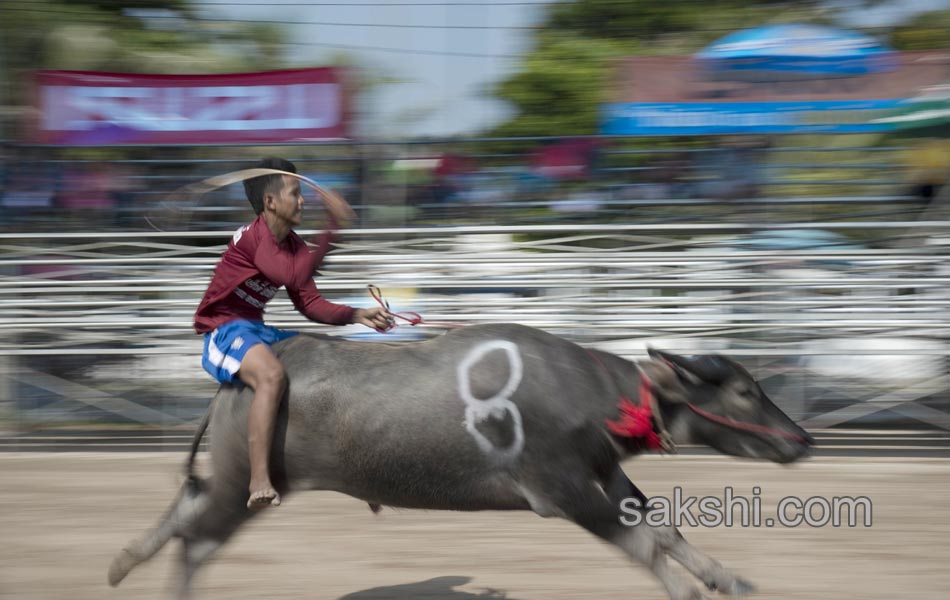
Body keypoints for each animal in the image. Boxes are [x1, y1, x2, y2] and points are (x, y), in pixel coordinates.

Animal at [109, 324, 812, 600]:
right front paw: (689, 589)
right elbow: (639, 543)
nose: (800, 440)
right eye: (744, 390)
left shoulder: (605, 472)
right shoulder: (562, 491)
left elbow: (662, 527)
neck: (588, 395)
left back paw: (122, 562)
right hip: (246, 487)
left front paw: (727, 578)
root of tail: (238, 378)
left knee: (184, 512)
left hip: (234, 484)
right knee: (197, 540)